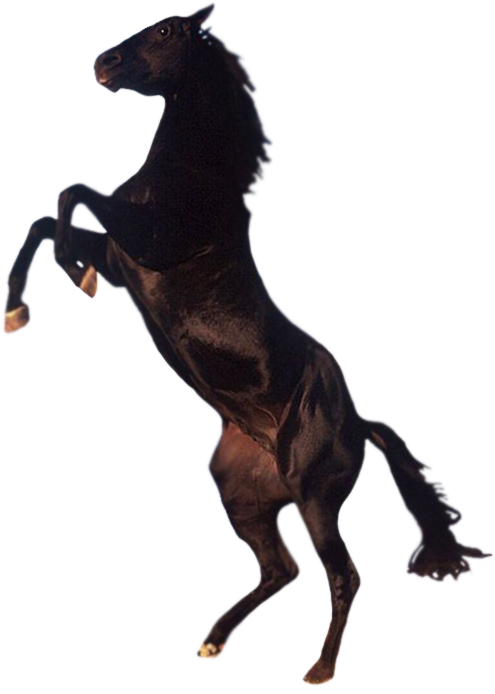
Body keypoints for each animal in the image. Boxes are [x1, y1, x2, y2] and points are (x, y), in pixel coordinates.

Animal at [2, 3, 492, 687]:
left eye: (166, 32)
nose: (102, 63)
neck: (189, 179)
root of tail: (359, 423)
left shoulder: (146, 244)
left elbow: (71, 194)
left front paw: (70, 275)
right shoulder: (127, 261)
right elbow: (44, 220)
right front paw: (20, 308)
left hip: (314, 498)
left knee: (342, 574)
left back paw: (318, 670)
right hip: (241, 493)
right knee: (281, 569)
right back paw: (213, 641)